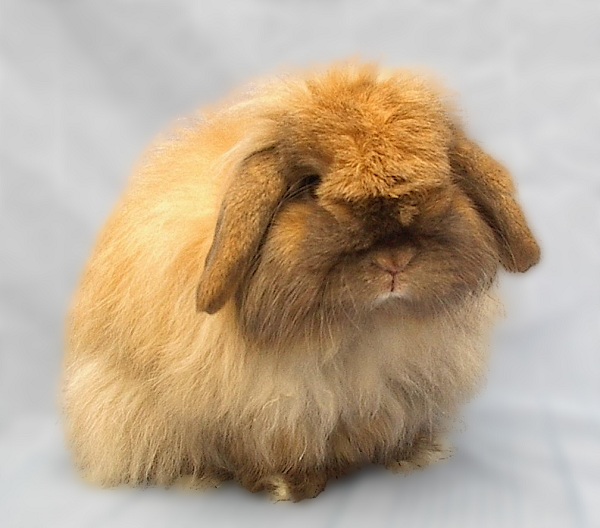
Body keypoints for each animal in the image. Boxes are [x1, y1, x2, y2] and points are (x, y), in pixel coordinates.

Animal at [63, 60, 540, 500]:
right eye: (310, 185)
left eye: (440, 181)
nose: (395, 261)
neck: (362, 328)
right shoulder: (261, 412)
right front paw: (288, 485)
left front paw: (414, 453)